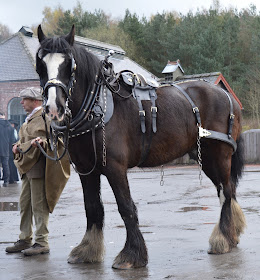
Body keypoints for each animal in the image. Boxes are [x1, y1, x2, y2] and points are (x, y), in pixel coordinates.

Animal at [35, 25, 246, 270]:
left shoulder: (115, 167)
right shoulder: (87, 169)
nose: (53, 107)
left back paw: (223, 239)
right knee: (226, 190)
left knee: (226, 192)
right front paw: (88, 249)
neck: (96, 108)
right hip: (206, 158)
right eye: (40, 65)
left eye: (69, 65)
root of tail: (227, 95)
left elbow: (126, 207)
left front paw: (132, 255)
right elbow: (92, 206)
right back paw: (232, 234)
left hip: (219, 154)